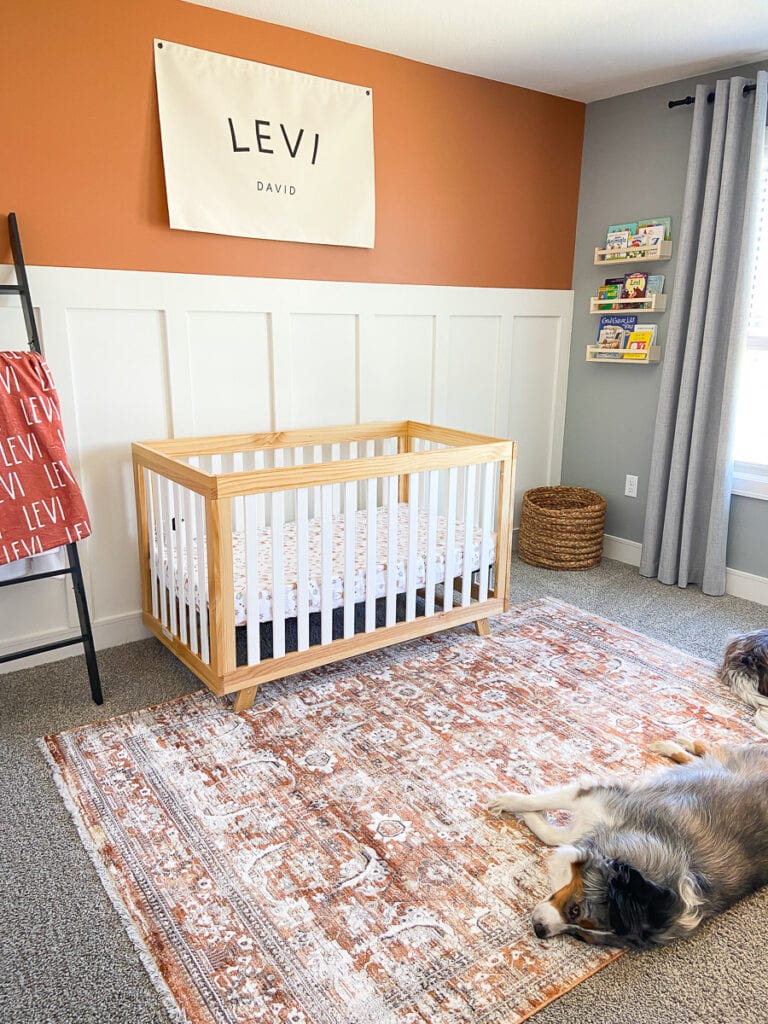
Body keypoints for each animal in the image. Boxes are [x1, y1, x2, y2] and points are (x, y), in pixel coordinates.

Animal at [489, 737, 768, 950]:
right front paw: (508, 802)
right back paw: (670, 745)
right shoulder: (597, 799)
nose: (539, 930)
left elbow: (552, 835)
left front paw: (525, 814)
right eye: (576, 910)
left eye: (579, 935)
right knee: (706, 747)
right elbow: (541, 806)